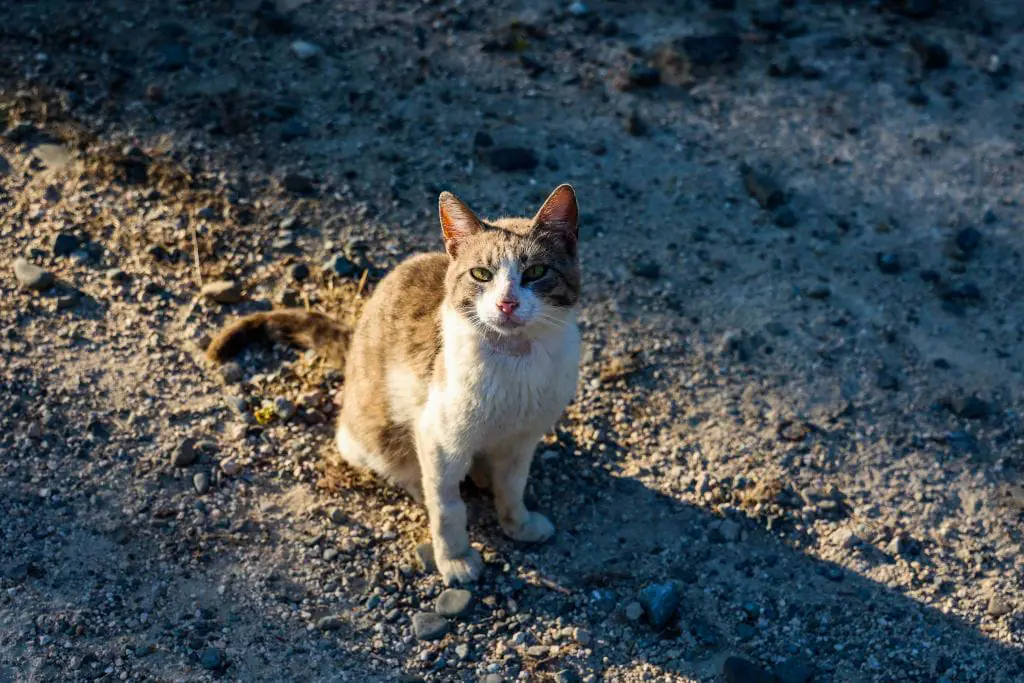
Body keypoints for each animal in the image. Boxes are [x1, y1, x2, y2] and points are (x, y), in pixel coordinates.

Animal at [205, 184, 585, 585]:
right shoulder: (439, 439)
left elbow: (512, 486)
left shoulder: (523, 437)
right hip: (371, 434)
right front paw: (455, 557)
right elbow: (448, 506)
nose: (506, 303)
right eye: (481, 274)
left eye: (536, 272)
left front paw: (518, 524)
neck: (515, 362)